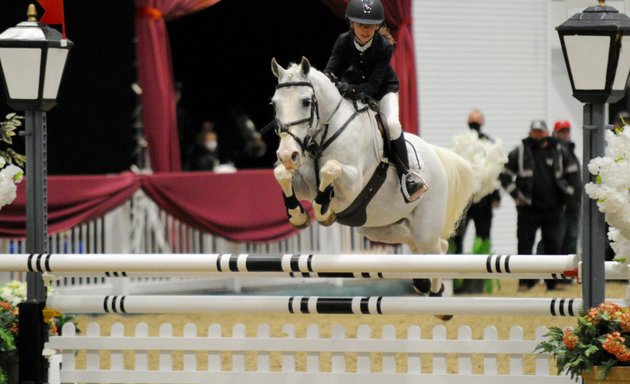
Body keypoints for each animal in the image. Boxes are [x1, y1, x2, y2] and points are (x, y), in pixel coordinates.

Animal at [270, 55, 474, 298]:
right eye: (274, 104)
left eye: (305, 102)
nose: (287, 154)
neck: (326, 132)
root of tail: (434, 153)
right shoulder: (306, 184)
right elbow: (281, 174)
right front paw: (298, 215)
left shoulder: (352, 183)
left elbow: (331, 168)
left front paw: (322, 210)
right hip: (379, 228)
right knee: (418, 243)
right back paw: (421, 282)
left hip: (425, 224)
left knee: (435, 249)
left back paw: (436, 293)